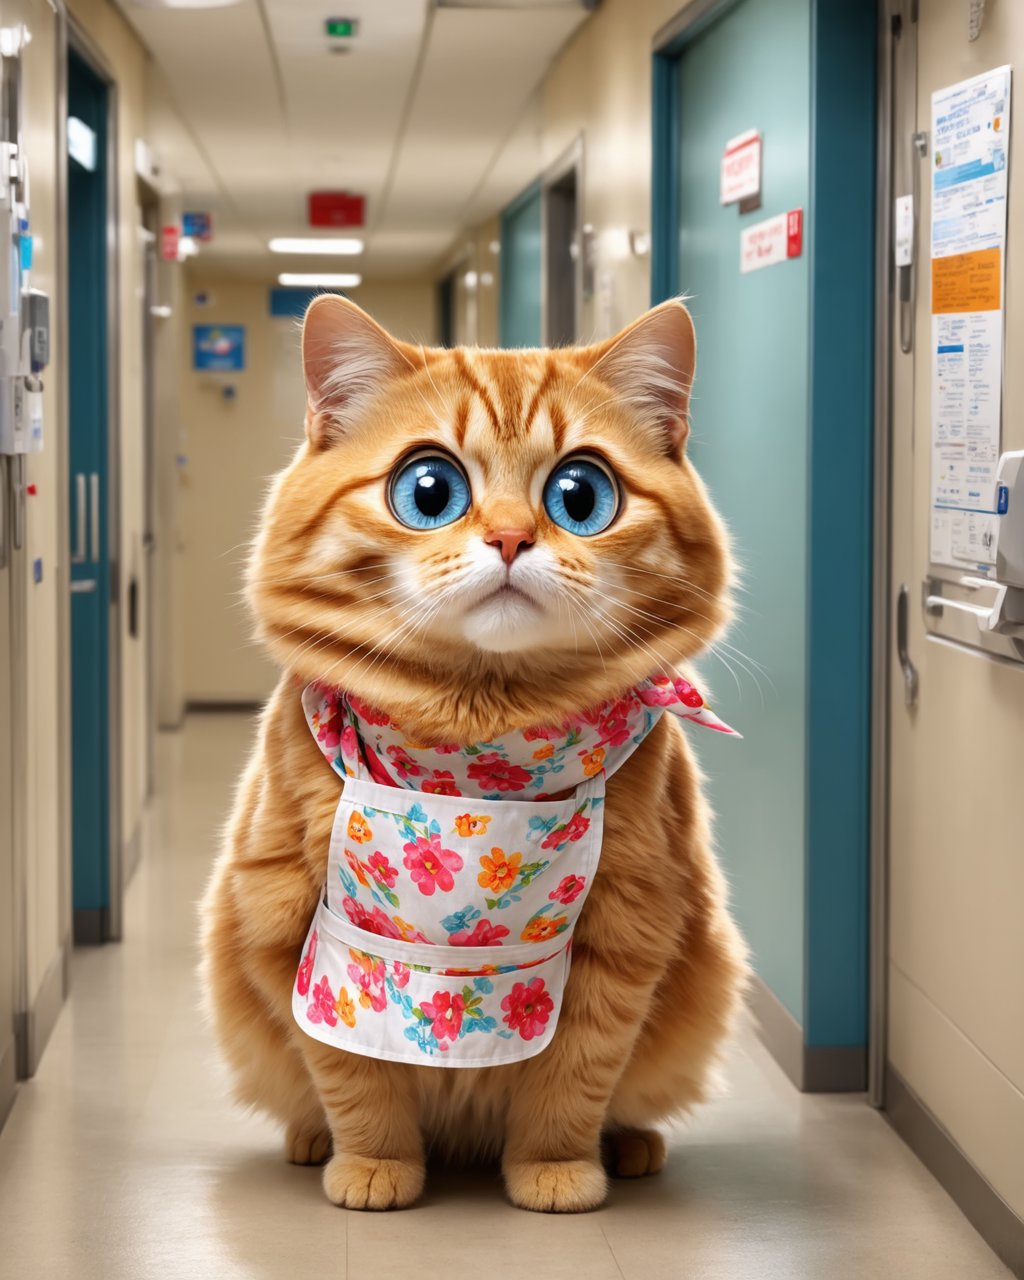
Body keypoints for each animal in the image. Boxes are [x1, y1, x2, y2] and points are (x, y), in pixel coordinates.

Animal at [198, 294, 742, 1213]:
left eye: (579, 494)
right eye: (430, 490)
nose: (514, 539)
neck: (478, 750)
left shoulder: (627, 933)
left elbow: (573, 1078)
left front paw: (556, 1171)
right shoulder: (300, 922)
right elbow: (352, 1074)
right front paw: (373, 1165)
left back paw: (630, 1145)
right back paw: (311, 1141)